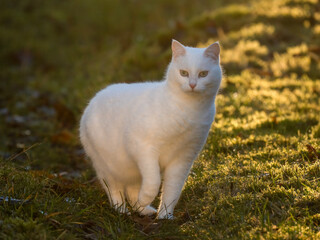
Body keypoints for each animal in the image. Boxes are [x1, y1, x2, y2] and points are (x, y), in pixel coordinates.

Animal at [80, 39, 221, 219]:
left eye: (203, 74)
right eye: (183, 73)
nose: (192, 85)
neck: (189, 110)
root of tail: (92, 102)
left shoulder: (183, 158)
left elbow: (172, 190)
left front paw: (165, 216)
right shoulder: (143, 148)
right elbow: (154, 181)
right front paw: (147, 200)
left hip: (133, 171)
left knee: (132, 191)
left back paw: (144, 209)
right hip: (108, 167)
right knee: (115, 190)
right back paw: (123, 211)